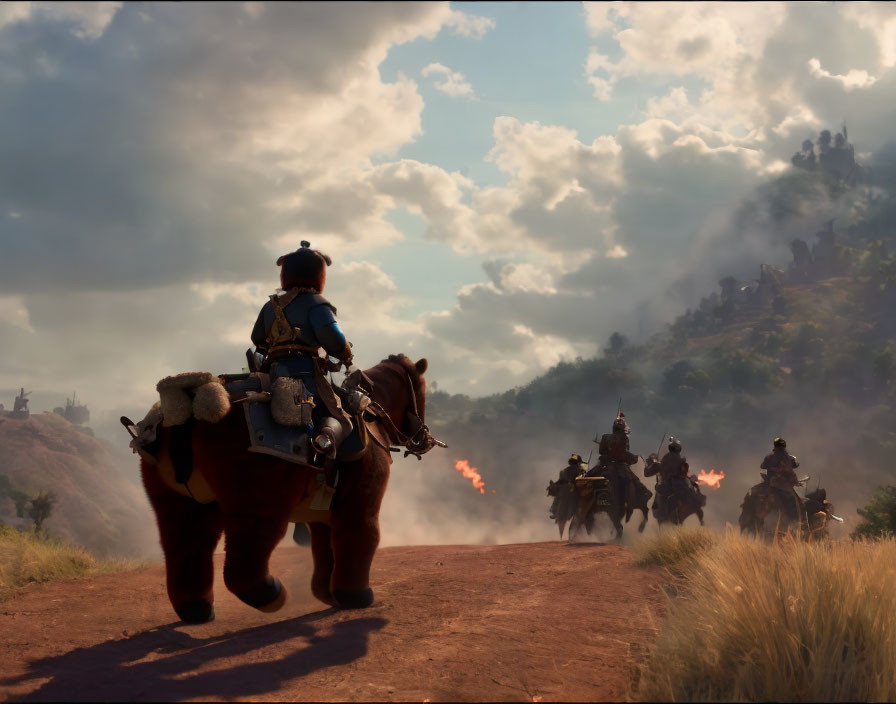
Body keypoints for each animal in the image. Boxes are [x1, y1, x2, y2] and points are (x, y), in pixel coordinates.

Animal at [136, 354, 434, 624]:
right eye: (421, 392)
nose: (423, 438)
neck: (369, 416)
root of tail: (190, 415)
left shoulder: (322, 518)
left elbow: (325, 549)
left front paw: (328, 594)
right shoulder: (359, 505)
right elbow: (362, 537)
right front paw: (356, 596)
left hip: (181, 506)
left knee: (186, 547)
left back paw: (196, 609)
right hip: (259, 509)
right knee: (242, 566)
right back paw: (270, 594)